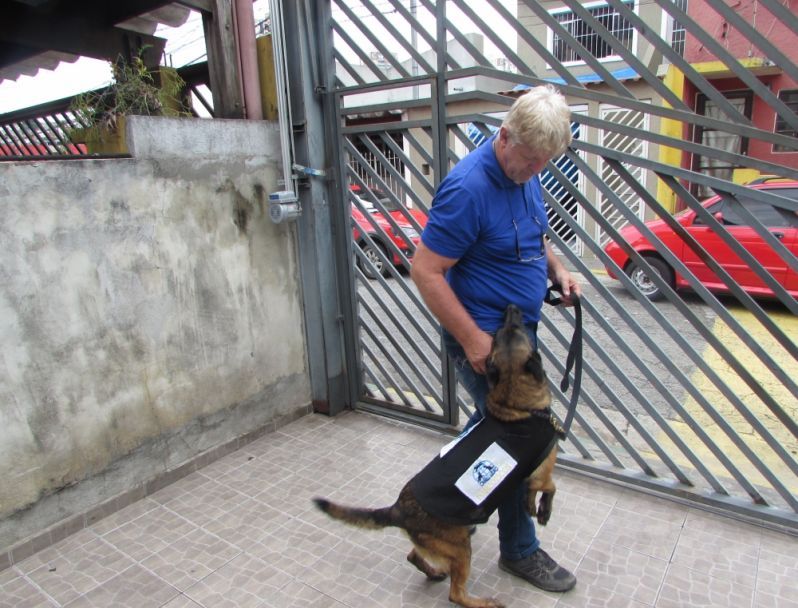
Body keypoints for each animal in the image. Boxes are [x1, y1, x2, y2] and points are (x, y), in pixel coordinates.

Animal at [316, 304, 564, 608]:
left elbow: (530, 492)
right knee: (455, 594)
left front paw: (531, 506)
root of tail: (399, 509)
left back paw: (433, 572)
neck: (513, 399)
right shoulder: (543, 468)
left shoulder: (531, 475)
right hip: (461, 550)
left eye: (501, 334)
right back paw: (481, 601)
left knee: (413, 555)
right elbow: (550, 487)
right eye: (515, 329)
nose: (512, 307)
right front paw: (544, 511)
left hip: (446, 543)